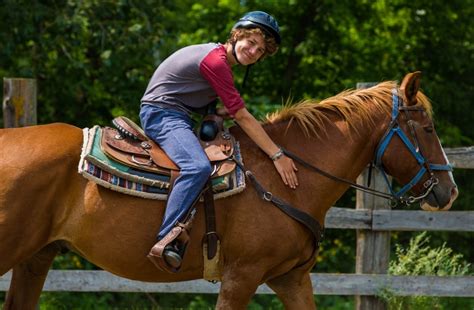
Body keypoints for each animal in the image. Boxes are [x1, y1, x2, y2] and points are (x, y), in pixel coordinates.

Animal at [0, 72, 460, 308]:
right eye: (428, 128)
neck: (284, 178)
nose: (449, 191)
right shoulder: (242, 277)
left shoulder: (291, 278)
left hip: (36, 258)